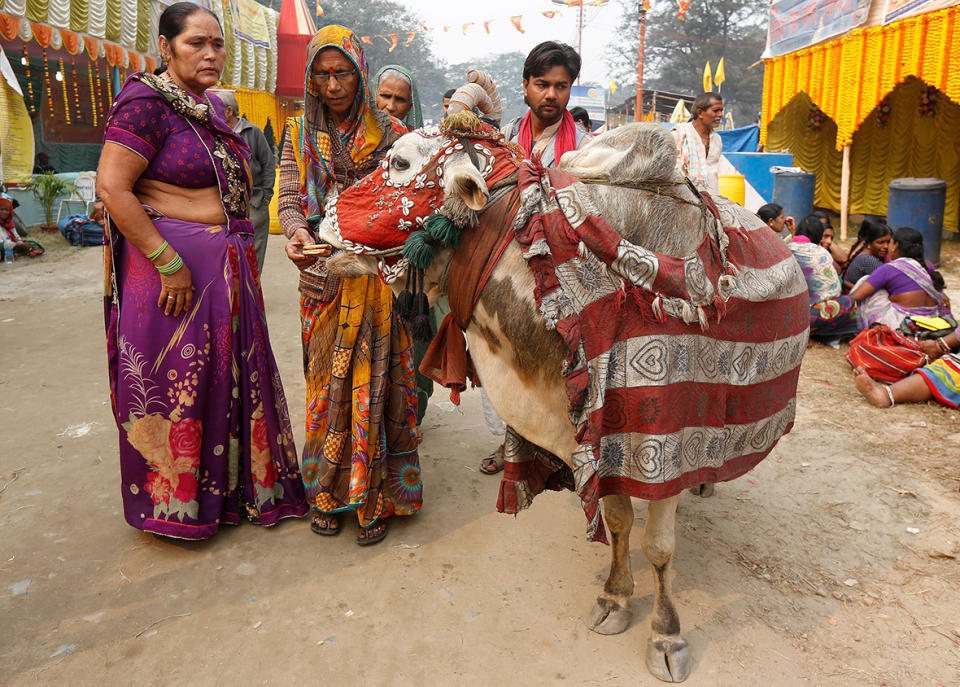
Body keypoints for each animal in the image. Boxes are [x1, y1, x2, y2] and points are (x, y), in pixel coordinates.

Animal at [308, 114, 808, 684]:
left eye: (399, 162)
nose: (318, 222)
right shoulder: (595, 438)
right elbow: (619, 521)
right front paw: (615, 598)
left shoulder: (665, 443)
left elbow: (659, 547)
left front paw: (666, 634)